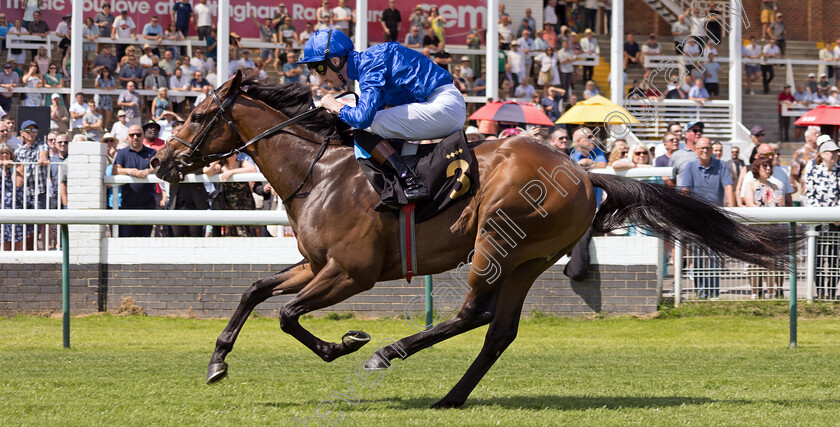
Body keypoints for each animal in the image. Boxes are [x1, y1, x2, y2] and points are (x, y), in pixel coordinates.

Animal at [153, 72, 796, 410]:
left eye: (201, 115)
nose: (161, 161)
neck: (322, 171)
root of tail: (583, 171)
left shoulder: (351, 272)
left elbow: (286, 314)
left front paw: (349, 343)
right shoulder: (316, 264)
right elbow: (256, 291)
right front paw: (217, 361)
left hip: (497, 238)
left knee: (472, 313)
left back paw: (392, 353)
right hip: (530, 258)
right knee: (497, 329)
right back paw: (451, 396)